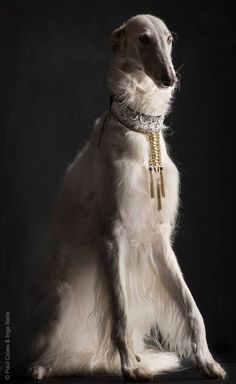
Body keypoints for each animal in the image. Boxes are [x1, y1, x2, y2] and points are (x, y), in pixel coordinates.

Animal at [26, 14, 226, 380]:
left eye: (169, 39)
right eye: (143, 39)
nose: (169, 78)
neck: (142, 132)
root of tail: (84, 353)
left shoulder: (158, 237)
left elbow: (192, 310)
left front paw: (207, 361)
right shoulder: (113, 235)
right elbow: (121, 315)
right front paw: (130, 366)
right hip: (60, 297)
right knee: (48, 348)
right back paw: (41, 365)